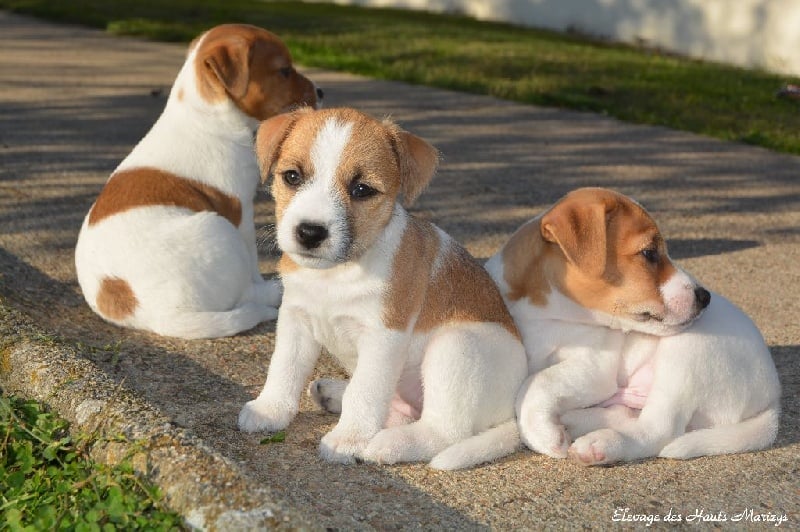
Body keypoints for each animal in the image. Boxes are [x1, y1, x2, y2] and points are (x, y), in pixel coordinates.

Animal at [75, 24, 320, 339]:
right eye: (284, 71)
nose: (321, 91)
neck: (203, 116)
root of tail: (154, 315)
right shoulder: (241, 211)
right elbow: (252, 259)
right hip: (221, 230)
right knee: (246, 292)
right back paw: (274, 290)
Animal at [237, 107, 528, 470]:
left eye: (362, 189)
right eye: (292, 176)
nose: (310, 232)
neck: (337, 274)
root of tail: (512, 413)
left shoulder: (382, 338)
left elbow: (364, 392)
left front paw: (347, 440)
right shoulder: (295, 320)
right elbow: (284, 369)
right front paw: (270, 410)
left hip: (456, 346)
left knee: (445, 431)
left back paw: (386, 444)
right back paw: (334, 394)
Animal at [485, 187, 781, 465]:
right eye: (649, 253)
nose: (705, 297)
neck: (544, 318)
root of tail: (773, 395)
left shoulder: (594, 368)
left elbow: (536, 382)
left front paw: (544, 435)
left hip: (687, 356)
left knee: (657, 430)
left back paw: (600, 444)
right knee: (626, 414)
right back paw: (576, 421)